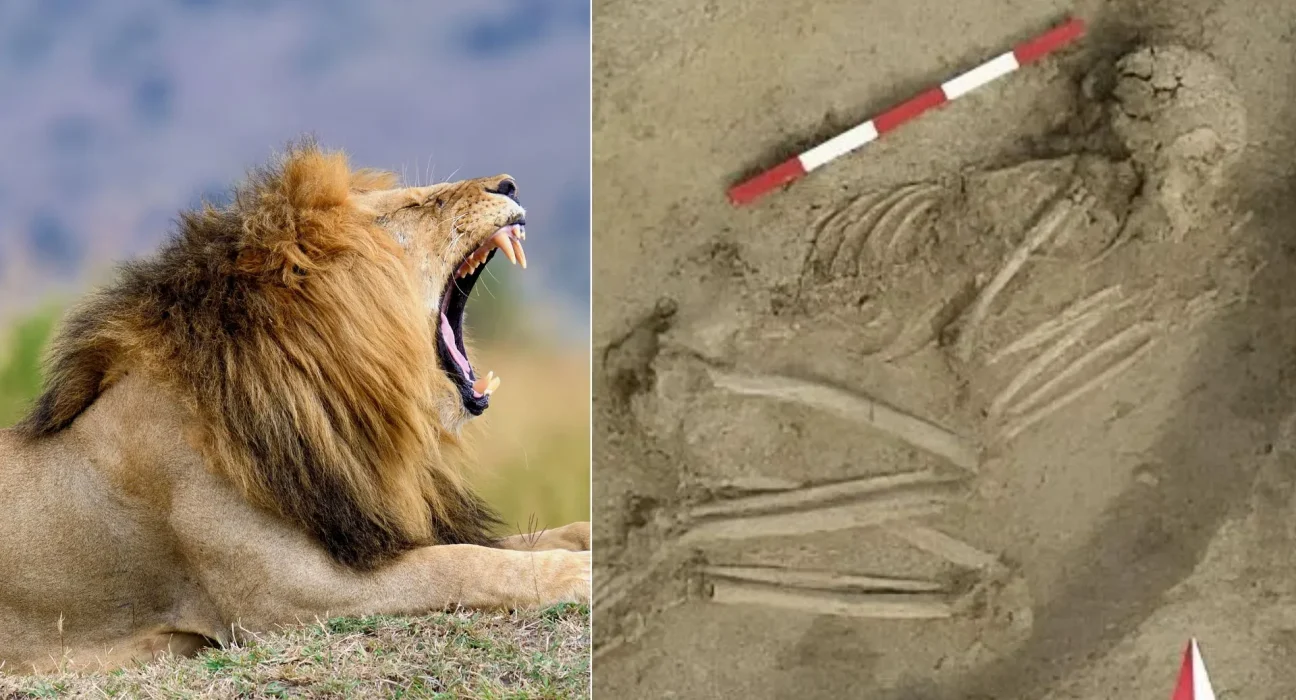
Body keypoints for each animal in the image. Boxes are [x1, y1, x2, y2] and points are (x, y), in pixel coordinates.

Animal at [0, 143, 591, 674]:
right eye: (418, 204)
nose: (509, 184)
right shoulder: (285, 597)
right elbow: (461, 564)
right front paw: (577, 574)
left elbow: (513, 541)